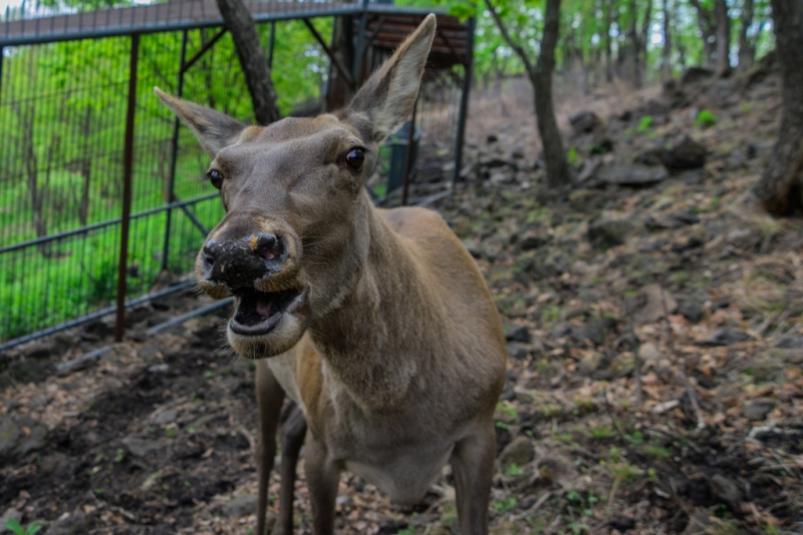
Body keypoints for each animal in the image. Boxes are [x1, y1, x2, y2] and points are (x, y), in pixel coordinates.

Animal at [155, 14, 507, 535]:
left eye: (354, 155)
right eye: (216, 173)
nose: (238, 251)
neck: (403, 420)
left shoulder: (482, 428)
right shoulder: (325, 452)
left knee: (287, 433)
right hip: (265, 372)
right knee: (265, 447)